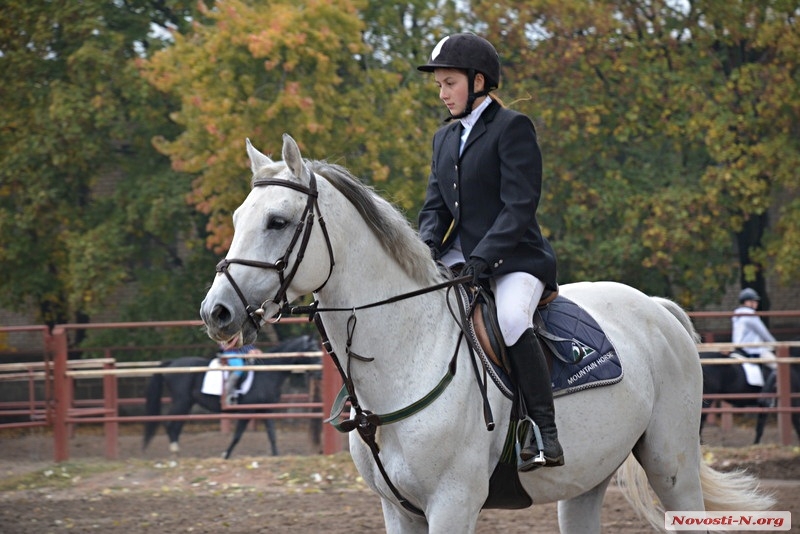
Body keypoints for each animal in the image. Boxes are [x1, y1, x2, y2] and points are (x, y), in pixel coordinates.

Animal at [142, 338, 320, 458]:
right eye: (312, 348)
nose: (319, 372)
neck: (268, 372)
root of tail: (172, 363)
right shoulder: (247, 412)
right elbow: (237, 436)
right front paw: (225, 455)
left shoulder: (266, 409)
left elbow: (272, 434)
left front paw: (276, 455)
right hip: (182, 401)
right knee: (169, 424)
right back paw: (174, 451)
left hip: (187, 404)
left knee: (176, 425)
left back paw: (177, 453)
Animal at [202, 135, 776, 534]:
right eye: (237, 217)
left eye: (277, 221)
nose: (217, 312)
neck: (407, 356)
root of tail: (655, 308)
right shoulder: (398, 510)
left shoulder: (452, 504)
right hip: (587, 478)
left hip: (671, 463)